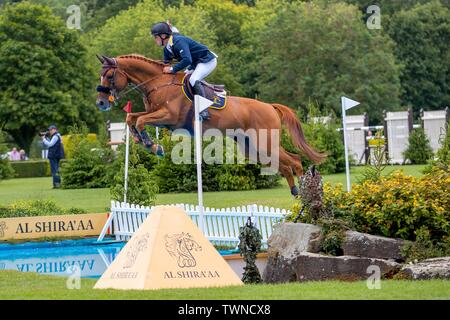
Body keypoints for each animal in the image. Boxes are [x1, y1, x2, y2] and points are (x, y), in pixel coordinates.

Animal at [96, 53, 326, 196]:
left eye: (109, 75)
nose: (100, 103)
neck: (157, 83)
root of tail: (270, 106)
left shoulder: (168, 116)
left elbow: (141, 120)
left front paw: (154, 146)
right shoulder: (156, 115)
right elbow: (132, 118)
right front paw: (141, 140)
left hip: (265, 141)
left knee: (294, 160)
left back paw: (304, 193)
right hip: (252, 147)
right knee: (283, 165)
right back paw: (295, 192)